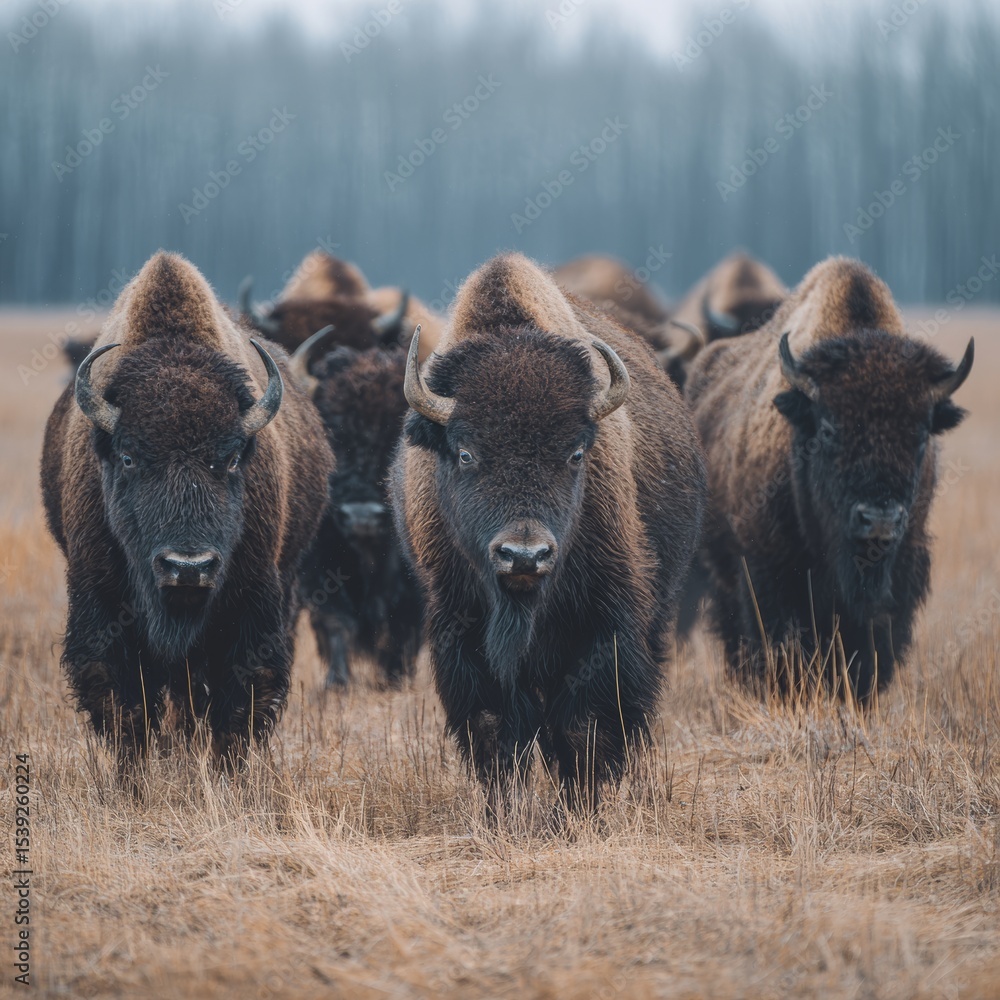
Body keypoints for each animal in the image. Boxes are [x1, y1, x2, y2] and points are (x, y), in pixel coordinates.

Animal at [40, 252, 334, 768]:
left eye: (232, 457)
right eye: (129, 456)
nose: (188, 566)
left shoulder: (254, 603)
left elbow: (240, 700)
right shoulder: (100, 606)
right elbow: (124, 707)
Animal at [389, 253, 706, 806]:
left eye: (576, 453)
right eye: (466, 453)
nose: (524, 555)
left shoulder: (606, 622)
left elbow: (583, 726)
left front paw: (579, 808)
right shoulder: (459, 627)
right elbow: (493, 727)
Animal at [685, 257, 973, 704]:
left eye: (922, 434)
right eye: (827, 429)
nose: (879, 520)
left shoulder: (899, 577)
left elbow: (871, 652)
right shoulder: (767, 576)